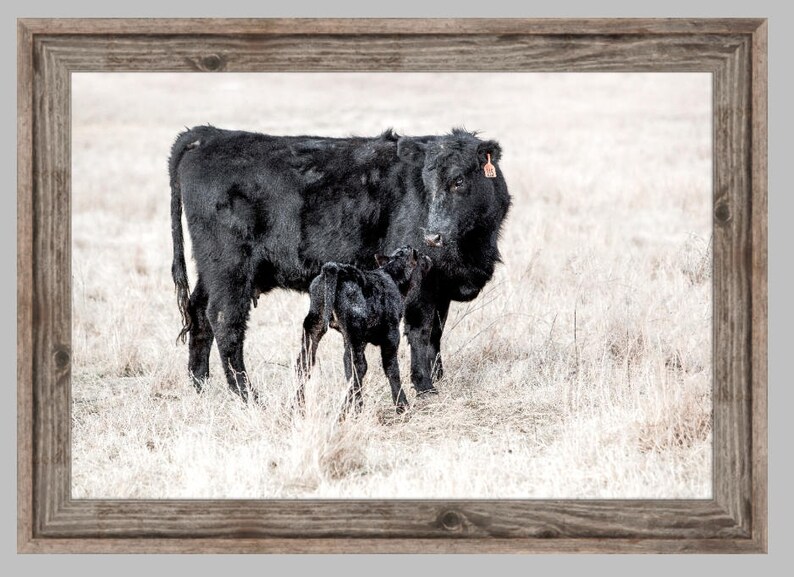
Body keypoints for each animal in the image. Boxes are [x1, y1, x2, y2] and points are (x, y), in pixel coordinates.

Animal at [295, 247, 432, 415]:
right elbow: (391, 368)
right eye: (420, 255)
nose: (429, 258)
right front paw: (402, 406)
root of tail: (335, 268)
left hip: (316, 324)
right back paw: (353, 408)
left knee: (305, 363)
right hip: (355, 329)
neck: (394, 277)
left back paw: (298, 407)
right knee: (356, 366)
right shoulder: (391, 334)